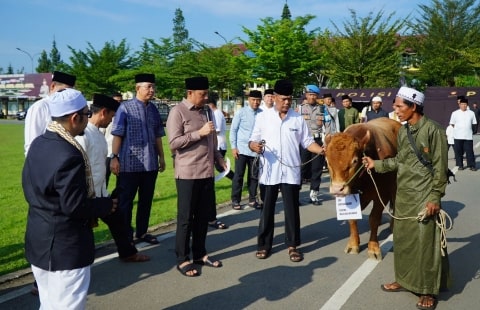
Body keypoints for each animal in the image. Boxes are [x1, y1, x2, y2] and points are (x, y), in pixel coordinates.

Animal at [322, 117, 402, 260]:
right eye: (327, 160)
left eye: (354, 161)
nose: (337, 189)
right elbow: (352, 220)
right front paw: (353, 244)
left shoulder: (382, 195)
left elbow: (373, 219)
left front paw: (373, 247)